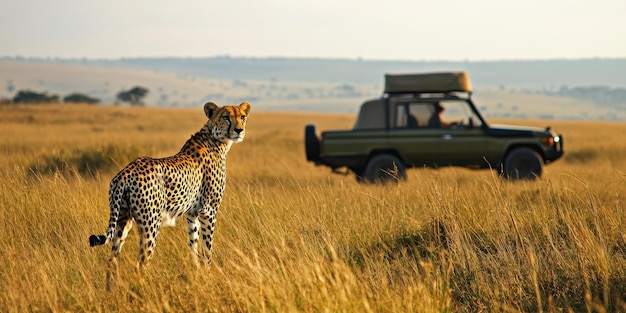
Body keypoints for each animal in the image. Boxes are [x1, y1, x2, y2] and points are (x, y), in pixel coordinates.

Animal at [88, 101, 249, 286]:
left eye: (242, 117)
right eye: (226, 117)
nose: (239, 130)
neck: (216, 139)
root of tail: (126, 172)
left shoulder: (192, 213)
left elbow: (193, 245)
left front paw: (196, 272)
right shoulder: (209, 211)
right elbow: (207, 249)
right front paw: (208, 276)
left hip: (122, 220)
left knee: (112, 260)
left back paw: (110, 290)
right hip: (151, 224)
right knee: (140, 264)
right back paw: (144, 288)